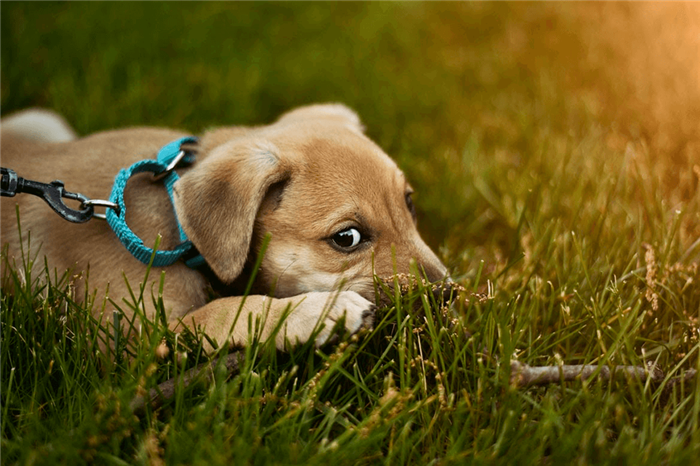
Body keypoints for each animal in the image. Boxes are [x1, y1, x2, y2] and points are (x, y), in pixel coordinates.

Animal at [0, 104, 448, 350]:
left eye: (409, 203)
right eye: (347, 238)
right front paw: (320, 312)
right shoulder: (130, 342)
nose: (446, 295)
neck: (178, 227)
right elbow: (225, 311)